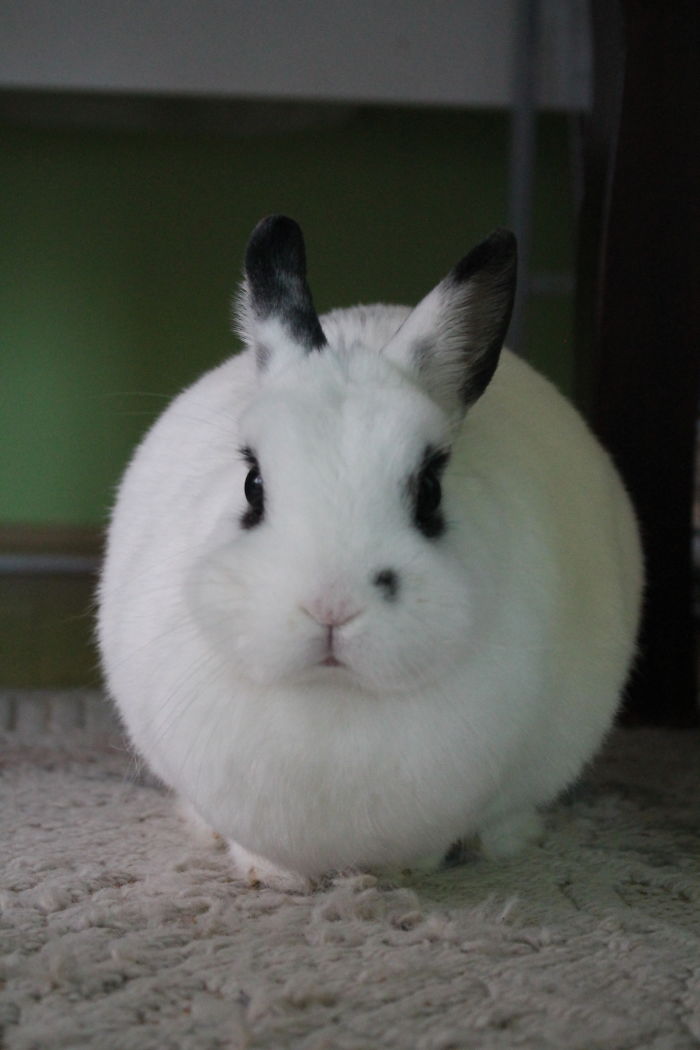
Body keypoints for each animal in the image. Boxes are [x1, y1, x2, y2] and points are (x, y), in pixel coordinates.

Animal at [98, 215, 643, 892]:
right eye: (252, 485)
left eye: (430, 491)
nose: (331, 607)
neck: (334, 699)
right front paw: (268, 876)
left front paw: (403, 873)